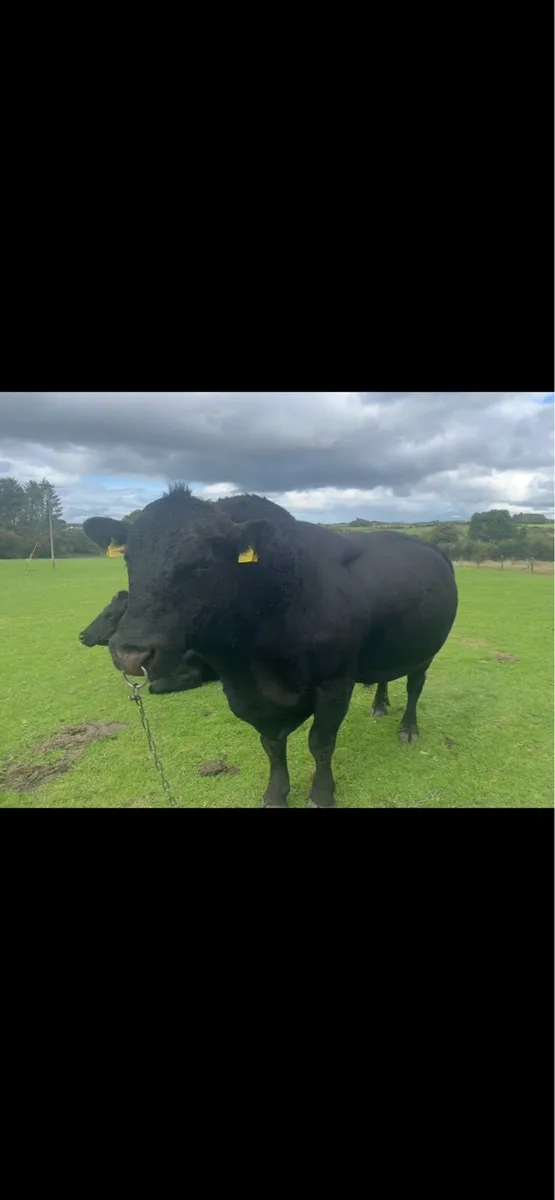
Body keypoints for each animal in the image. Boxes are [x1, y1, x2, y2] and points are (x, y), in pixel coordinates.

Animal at [83, 487, 458, 808]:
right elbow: (272, 745)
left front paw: (321, 794)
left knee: (414, 686)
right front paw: (275, 793)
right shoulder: (246, 694)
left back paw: (408, 729)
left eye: (204, 562)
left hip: (427, 650)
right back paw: (379, 705)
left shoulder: (335, 683)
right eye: (129, 560)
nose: (131, 654)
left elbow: (321, 742)